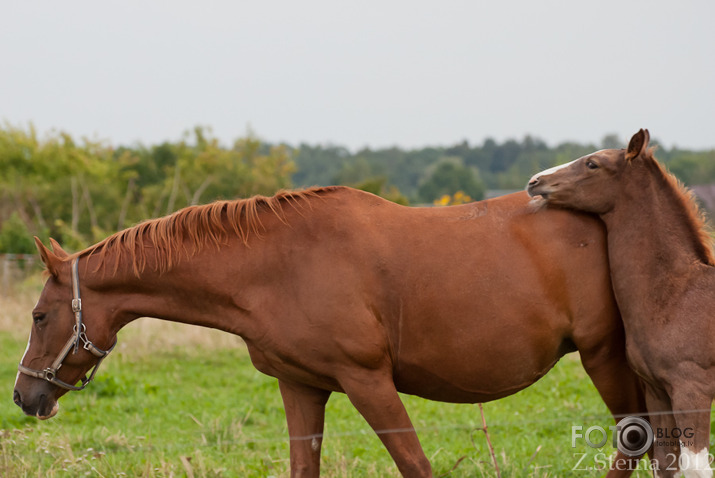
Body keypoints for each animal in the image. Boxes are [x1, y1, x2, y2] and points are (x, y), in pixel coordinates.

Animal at [14, 189, 648, 476]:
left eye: (39, 316)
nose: (24, 395)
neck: (278, 265)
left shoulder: (368, 382)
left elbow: (415, 464)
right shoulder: (302, 387)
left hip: (603, 356)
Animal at [528, 128, 712, 478]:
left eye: (593, 164)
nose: (535, 181)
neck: (676, 295)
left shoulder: (692, 390)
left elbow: (696, 468)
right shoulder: (658, 391)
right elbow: (665, 463)